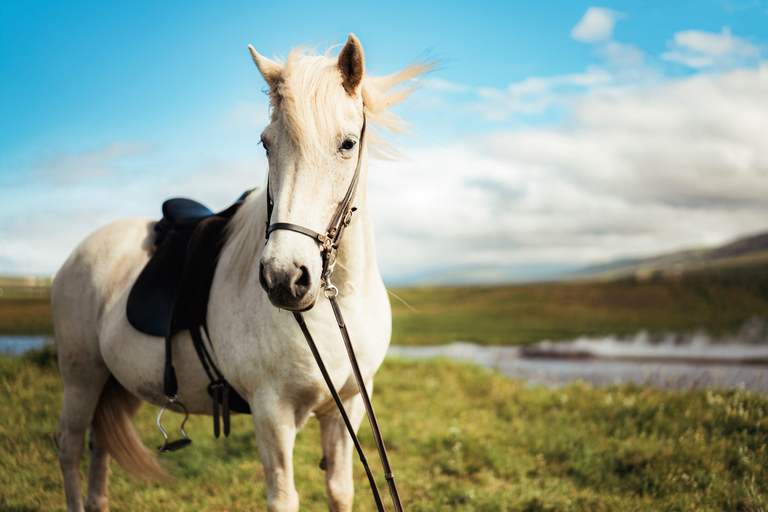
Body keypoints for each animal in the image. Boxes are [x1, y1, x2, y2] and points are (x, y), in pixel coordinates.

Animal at [51, 34, 432, 512]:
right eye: (266, 144)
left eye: (347, 143)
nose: (284, 277)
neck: (339, 304)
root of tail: (80, 252)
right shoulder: (272, 413)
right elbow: (284, 497)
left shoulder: (346, 409)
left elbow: (341, 490)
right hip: (81, 378)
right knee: (69, 444)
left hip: (118, 384)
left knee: (99, 445)